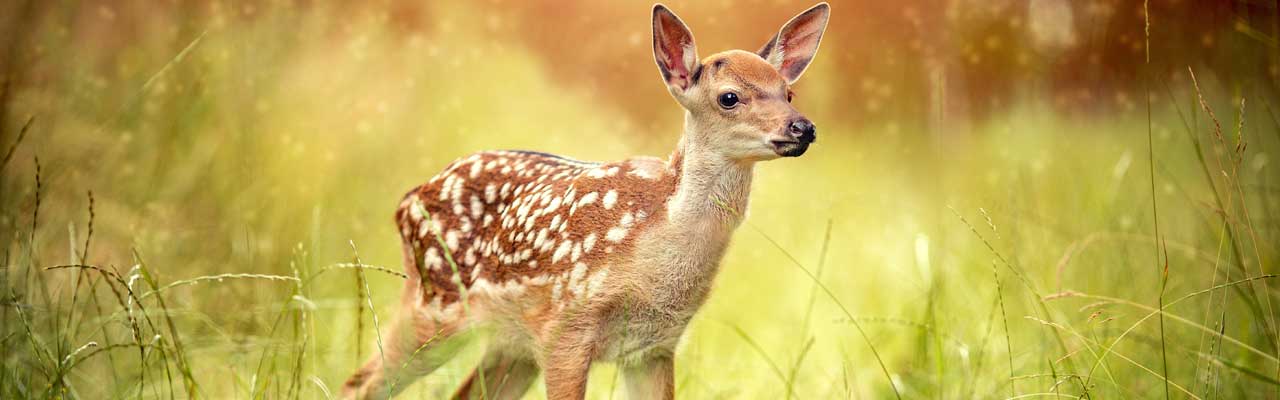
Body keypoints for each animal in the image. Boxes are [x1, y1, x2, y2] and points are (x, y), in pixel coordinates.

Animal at [343, 3, 829, 400]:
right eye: (729, 97)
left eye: (788, 92)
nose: (803, 127)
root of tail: (407, 200)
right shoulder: (566, 328)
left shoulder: (655, 346)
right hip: (435, 303)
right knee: (361, 382)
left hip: (510, 343)